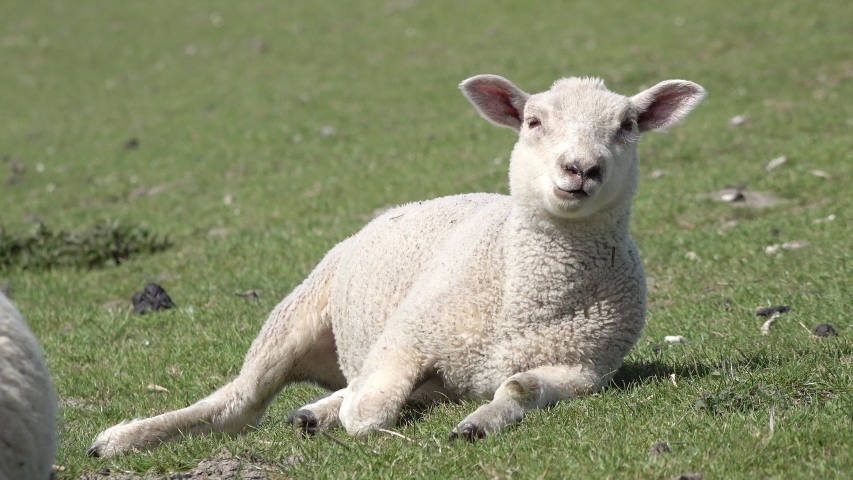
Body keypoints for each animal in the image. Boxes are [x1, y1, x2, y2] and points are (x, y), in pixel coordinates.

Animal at [87, 74, 705, 457]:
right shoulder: (408, 334)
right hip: (298, 312)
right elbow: (373, 411)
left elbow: (518, 389)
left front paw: (477, 423)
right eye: (532, 121)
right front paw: (358, 412)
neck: (527, 296)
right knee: (236, 405)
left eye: (628, 125)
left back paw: (316, 410)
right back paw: (120, 439)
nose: (581, 168)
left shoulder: (582, 369)